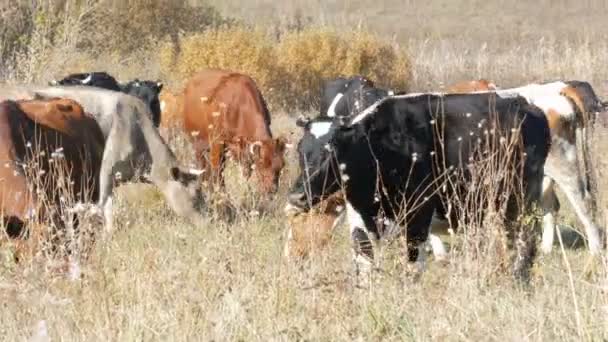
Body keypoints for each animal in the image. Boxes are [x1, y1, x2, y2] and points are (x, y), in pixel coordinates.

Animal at [286, 91, 552, 280]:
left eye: (332, 152)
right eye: (300, 150)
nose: (297, 196)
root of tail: (526, 105)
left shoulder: (419, 213)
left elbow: (413, 266)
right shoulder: (359, 217)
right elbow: (364, 261)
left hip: (522, 198)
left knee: (526, 241)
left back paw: (519, 279)